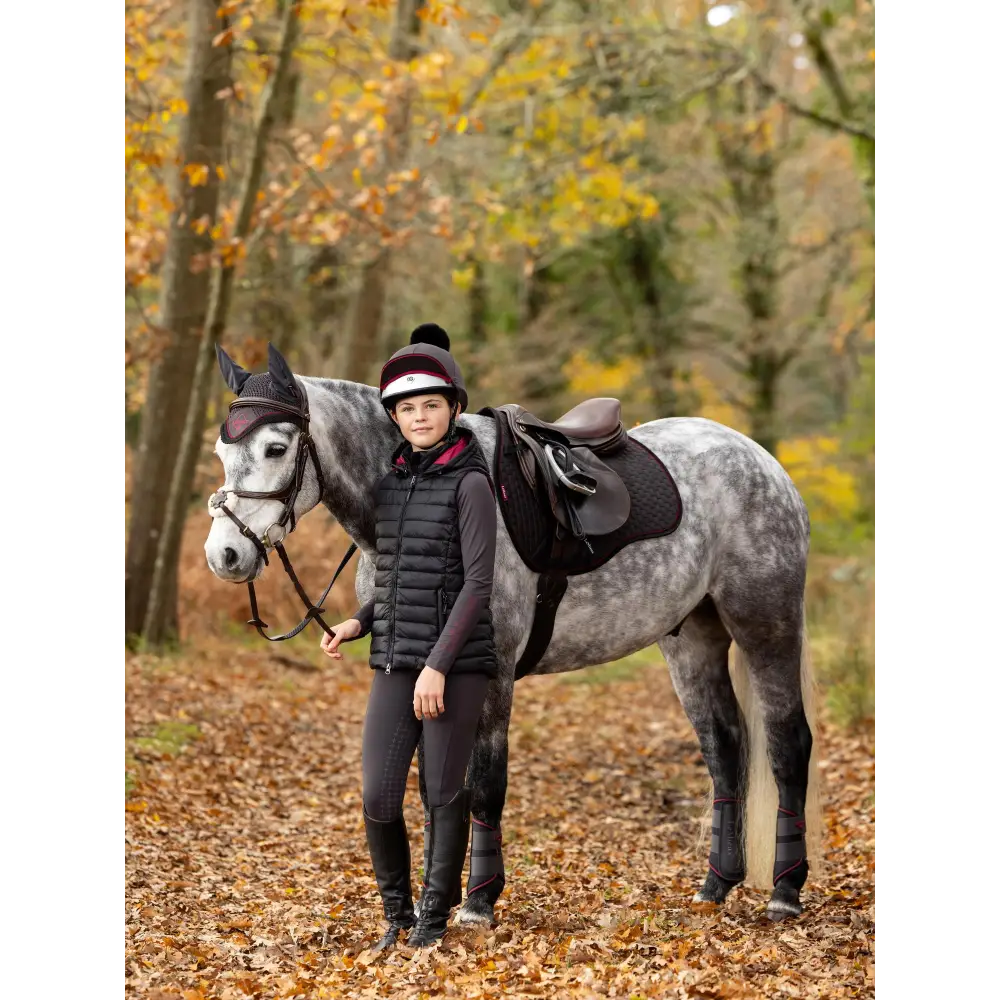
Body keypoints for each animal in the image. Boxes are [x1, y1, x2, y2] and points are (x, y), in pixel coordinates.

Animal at [203, 344, 820, 920]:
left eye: (276, 448)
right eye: (221, 452)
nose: (224, 555)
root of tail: (762, 462)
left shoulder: (491, 673)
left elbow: (483, 783)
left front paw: (478, 901)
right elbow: (434, 787)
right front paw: (439, 899)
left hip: (766, 626)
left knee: (787, 742)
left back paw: (785, 891)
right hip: (692, 640)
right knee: (725, 748)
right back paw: (717, 883)